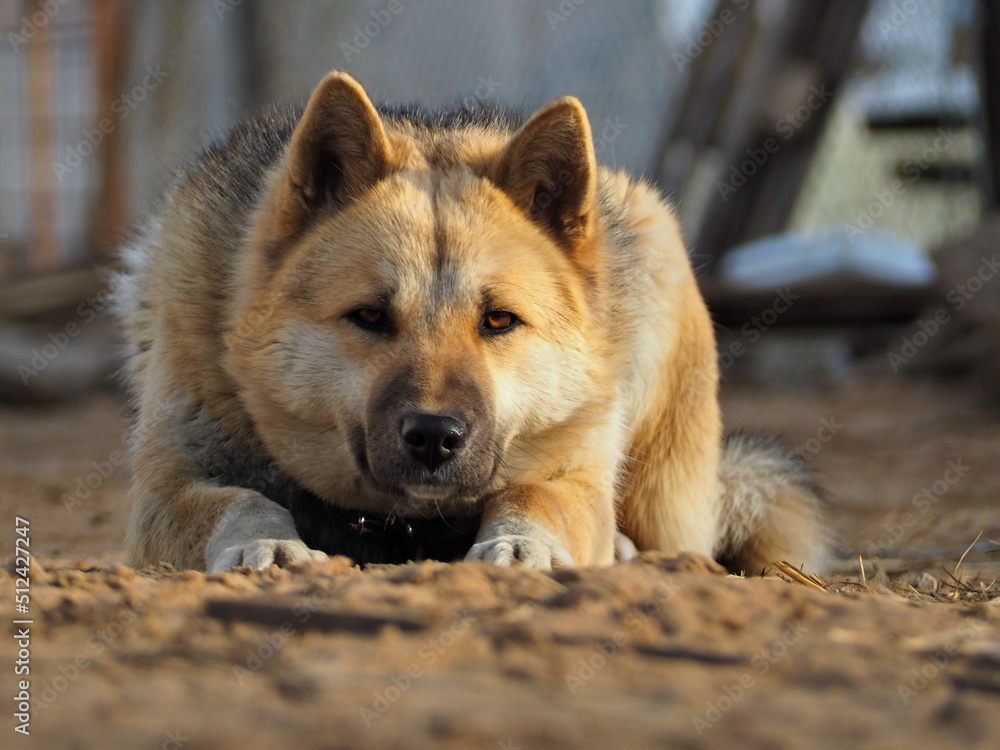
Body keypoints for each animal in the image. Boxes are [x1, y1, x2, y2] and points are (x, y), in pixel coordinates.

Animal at [115, 72, 828, 576]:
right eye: (369, 316)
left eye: (499, 320)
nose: (435, 437)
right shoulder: (165, 491)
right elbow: (242, 500)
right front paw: (266, 543)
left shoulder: (571, 477)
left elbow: (534, 497)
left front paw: (521, 545)